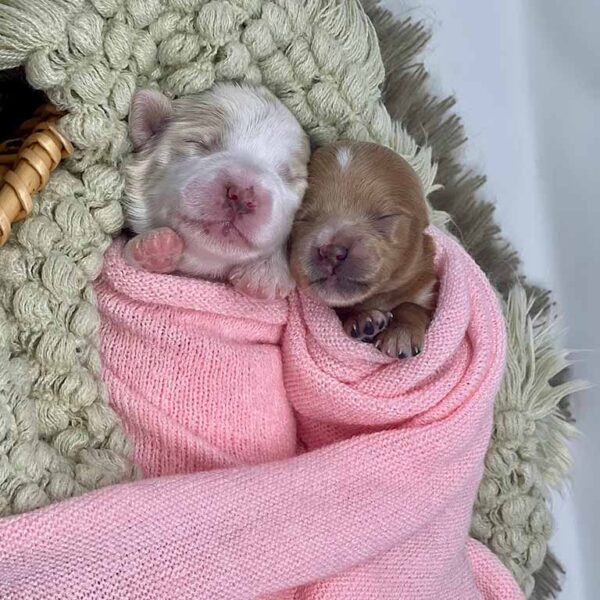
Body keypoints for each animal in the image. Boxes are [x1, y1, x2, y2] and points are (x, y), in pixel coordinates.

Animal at [290, 141, 436, 356]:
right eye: (302, 218)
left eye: (385, 216)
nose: (331, 252)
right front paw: (363, 319)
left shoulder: (427, 290)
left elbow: (412, 306)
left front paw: (401, 333)